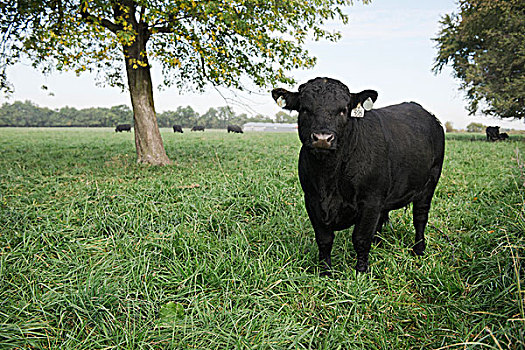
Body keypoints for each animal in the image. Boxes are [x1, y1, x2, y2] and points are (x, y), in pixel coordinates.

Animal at [272, 78, 444, 274]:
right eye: (305, 109)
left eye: (343, 110)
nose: (323, 138)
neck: (329, 179)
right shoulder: (312, 200)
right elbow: (324, 239)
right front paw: (325, 271)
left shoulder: (370, 201)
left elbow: (360, 238)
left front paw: (361, 271)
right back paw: (378, 243)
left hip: (429, 184)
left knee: (420, 217)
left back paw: (418, 249)